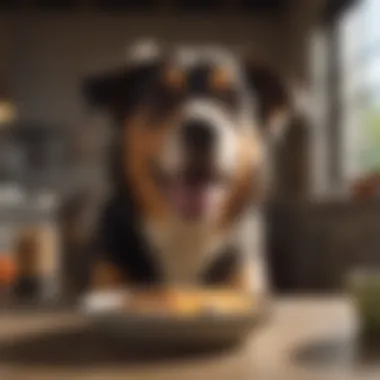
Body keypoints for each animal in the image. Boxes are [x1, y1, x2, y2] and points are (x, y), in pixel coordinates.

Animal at [83, 41, 294, 302]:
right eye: (164, 95)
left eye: (231, 98)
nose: (201, 130)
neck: (186, 233)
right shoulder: (108, 273)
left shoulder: (242, 279)